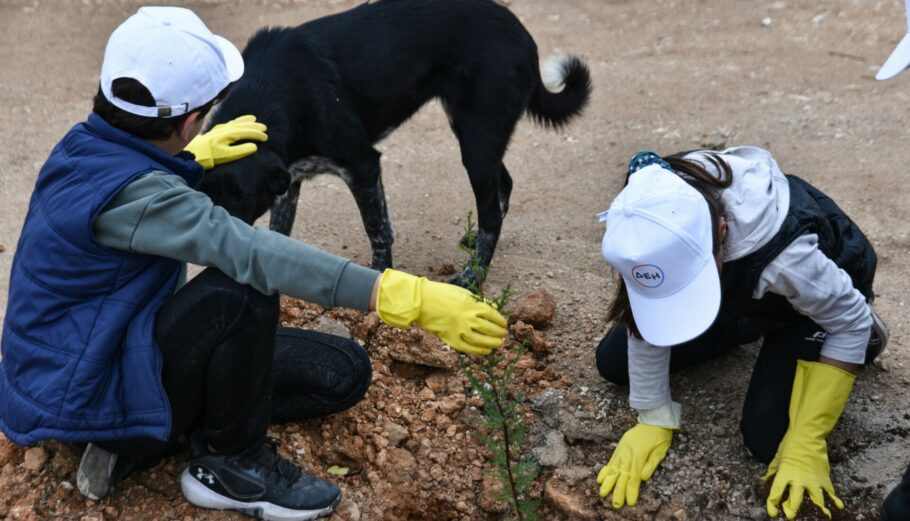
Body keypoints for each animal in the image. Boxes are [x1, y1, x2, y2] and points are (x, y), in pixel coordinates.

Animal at [201, 0, 592, 284]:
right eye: (204, 193)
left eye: (241, 196)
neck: (271, 92)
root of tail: (522, 34)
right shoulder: (290, 180)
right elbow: (282, 233)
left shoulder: (362, 164)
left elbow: (377, 230)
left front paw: (380, 276)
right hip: (473, 132)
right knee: (503, 185)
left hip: (476, 141)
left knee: (491, 215)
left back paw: (474, 276)